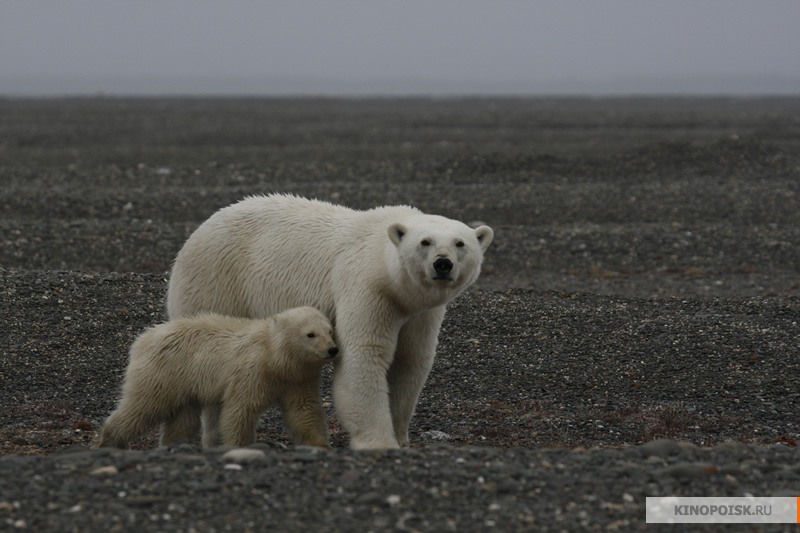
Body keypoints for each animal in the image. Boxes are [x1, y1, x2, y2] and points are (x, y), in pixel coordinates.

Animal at [97, 306, 338, 446]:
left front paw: (319, 446)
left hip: (184, 381)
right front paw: (239, 446)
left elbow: (303, 410)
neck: (274, 357)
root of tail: (142, 339)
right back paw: (111, 440)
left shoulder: (298, 379)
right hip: (164, 372)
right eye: (310, 334)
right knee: (145, 405)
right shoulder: (251, 372)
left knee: (183, 416)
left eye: (330, 330)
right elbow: (240, 410)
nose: (332, 349)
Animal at [167, 193, 494, 446]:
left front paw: (401, 439)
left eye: (460, 243)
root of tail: (202, 226)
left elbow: (410, 361)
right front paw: (379, 443)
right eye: (425, 242)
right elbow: (365, 356)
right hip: (215, 280)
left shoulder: (420, 313)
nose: (443, 264)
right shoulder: (365, 288)